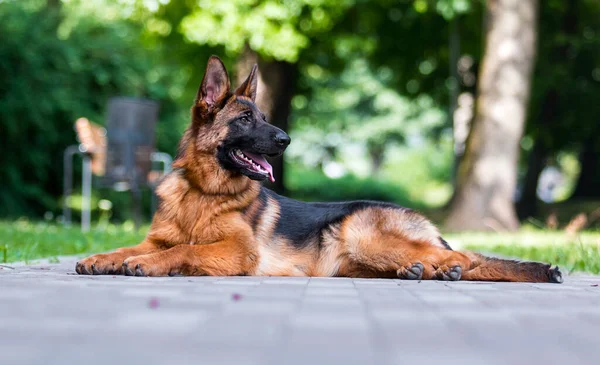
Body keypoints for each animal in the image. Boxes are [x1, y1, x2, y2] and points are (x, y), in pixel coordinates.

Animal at [76, 55, 564, 282]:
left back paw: (444, 271)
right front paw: (101, 258)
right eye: (246, 119)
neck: (203, 192)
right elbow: (130, 246)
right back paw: (419, 272)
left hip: (364, 236)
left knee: (465, 257)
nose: (285, 140)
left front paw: (146, 264)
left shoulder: (237, 251)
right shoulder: (154, 237)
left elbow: (184, 252)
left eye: (264, 116)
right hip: (355, 261)